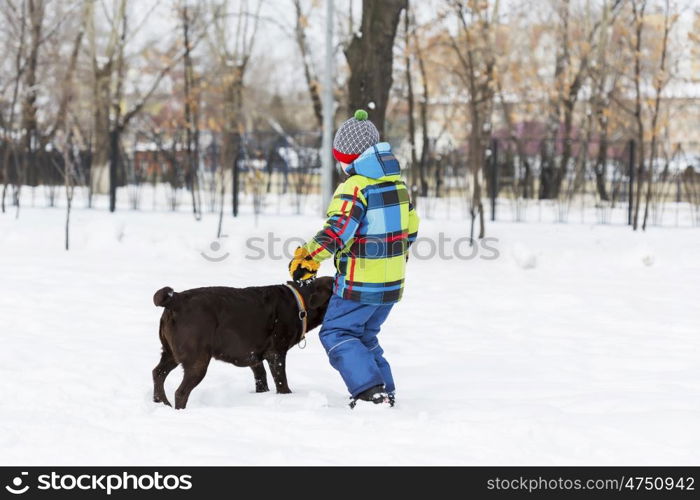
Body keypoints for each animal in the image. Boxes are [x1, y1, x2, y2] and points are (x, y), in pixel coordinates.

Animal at [150, 276, 334, 408]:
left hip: (170, 354)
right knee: (180, 392)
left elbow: (261, 378)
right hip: (197, 361)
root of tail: (175, 299)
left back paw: (162, 404)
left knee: (157, 373)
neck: (299, 302)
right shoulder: (276, 354)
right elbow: (282, 382)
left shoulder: (254, 356)